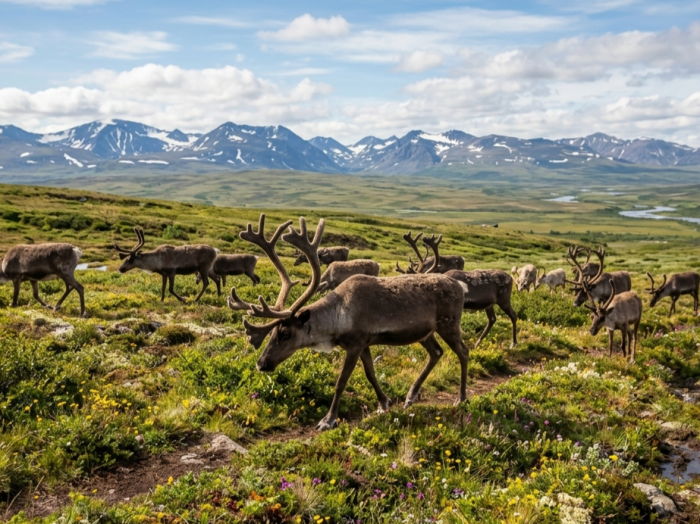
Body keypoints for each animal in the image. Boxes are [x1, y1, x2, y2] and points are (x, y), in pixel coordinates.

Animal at [227, 214, 470, 431]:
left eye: (286, 334)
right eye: (271, 333)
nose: (261, 364)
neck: (339, 317)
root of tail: (460, 286)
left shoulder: (356, 344)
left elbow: (341, 382)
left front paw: (328, 420)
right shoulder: (365, 345)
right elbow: (371, 374)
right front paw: (384, 403)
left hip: (449, 324)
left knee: (463, 351)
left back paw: (461, 398)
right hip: (424, 332)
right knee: (436, 353)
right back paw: (410, 396)